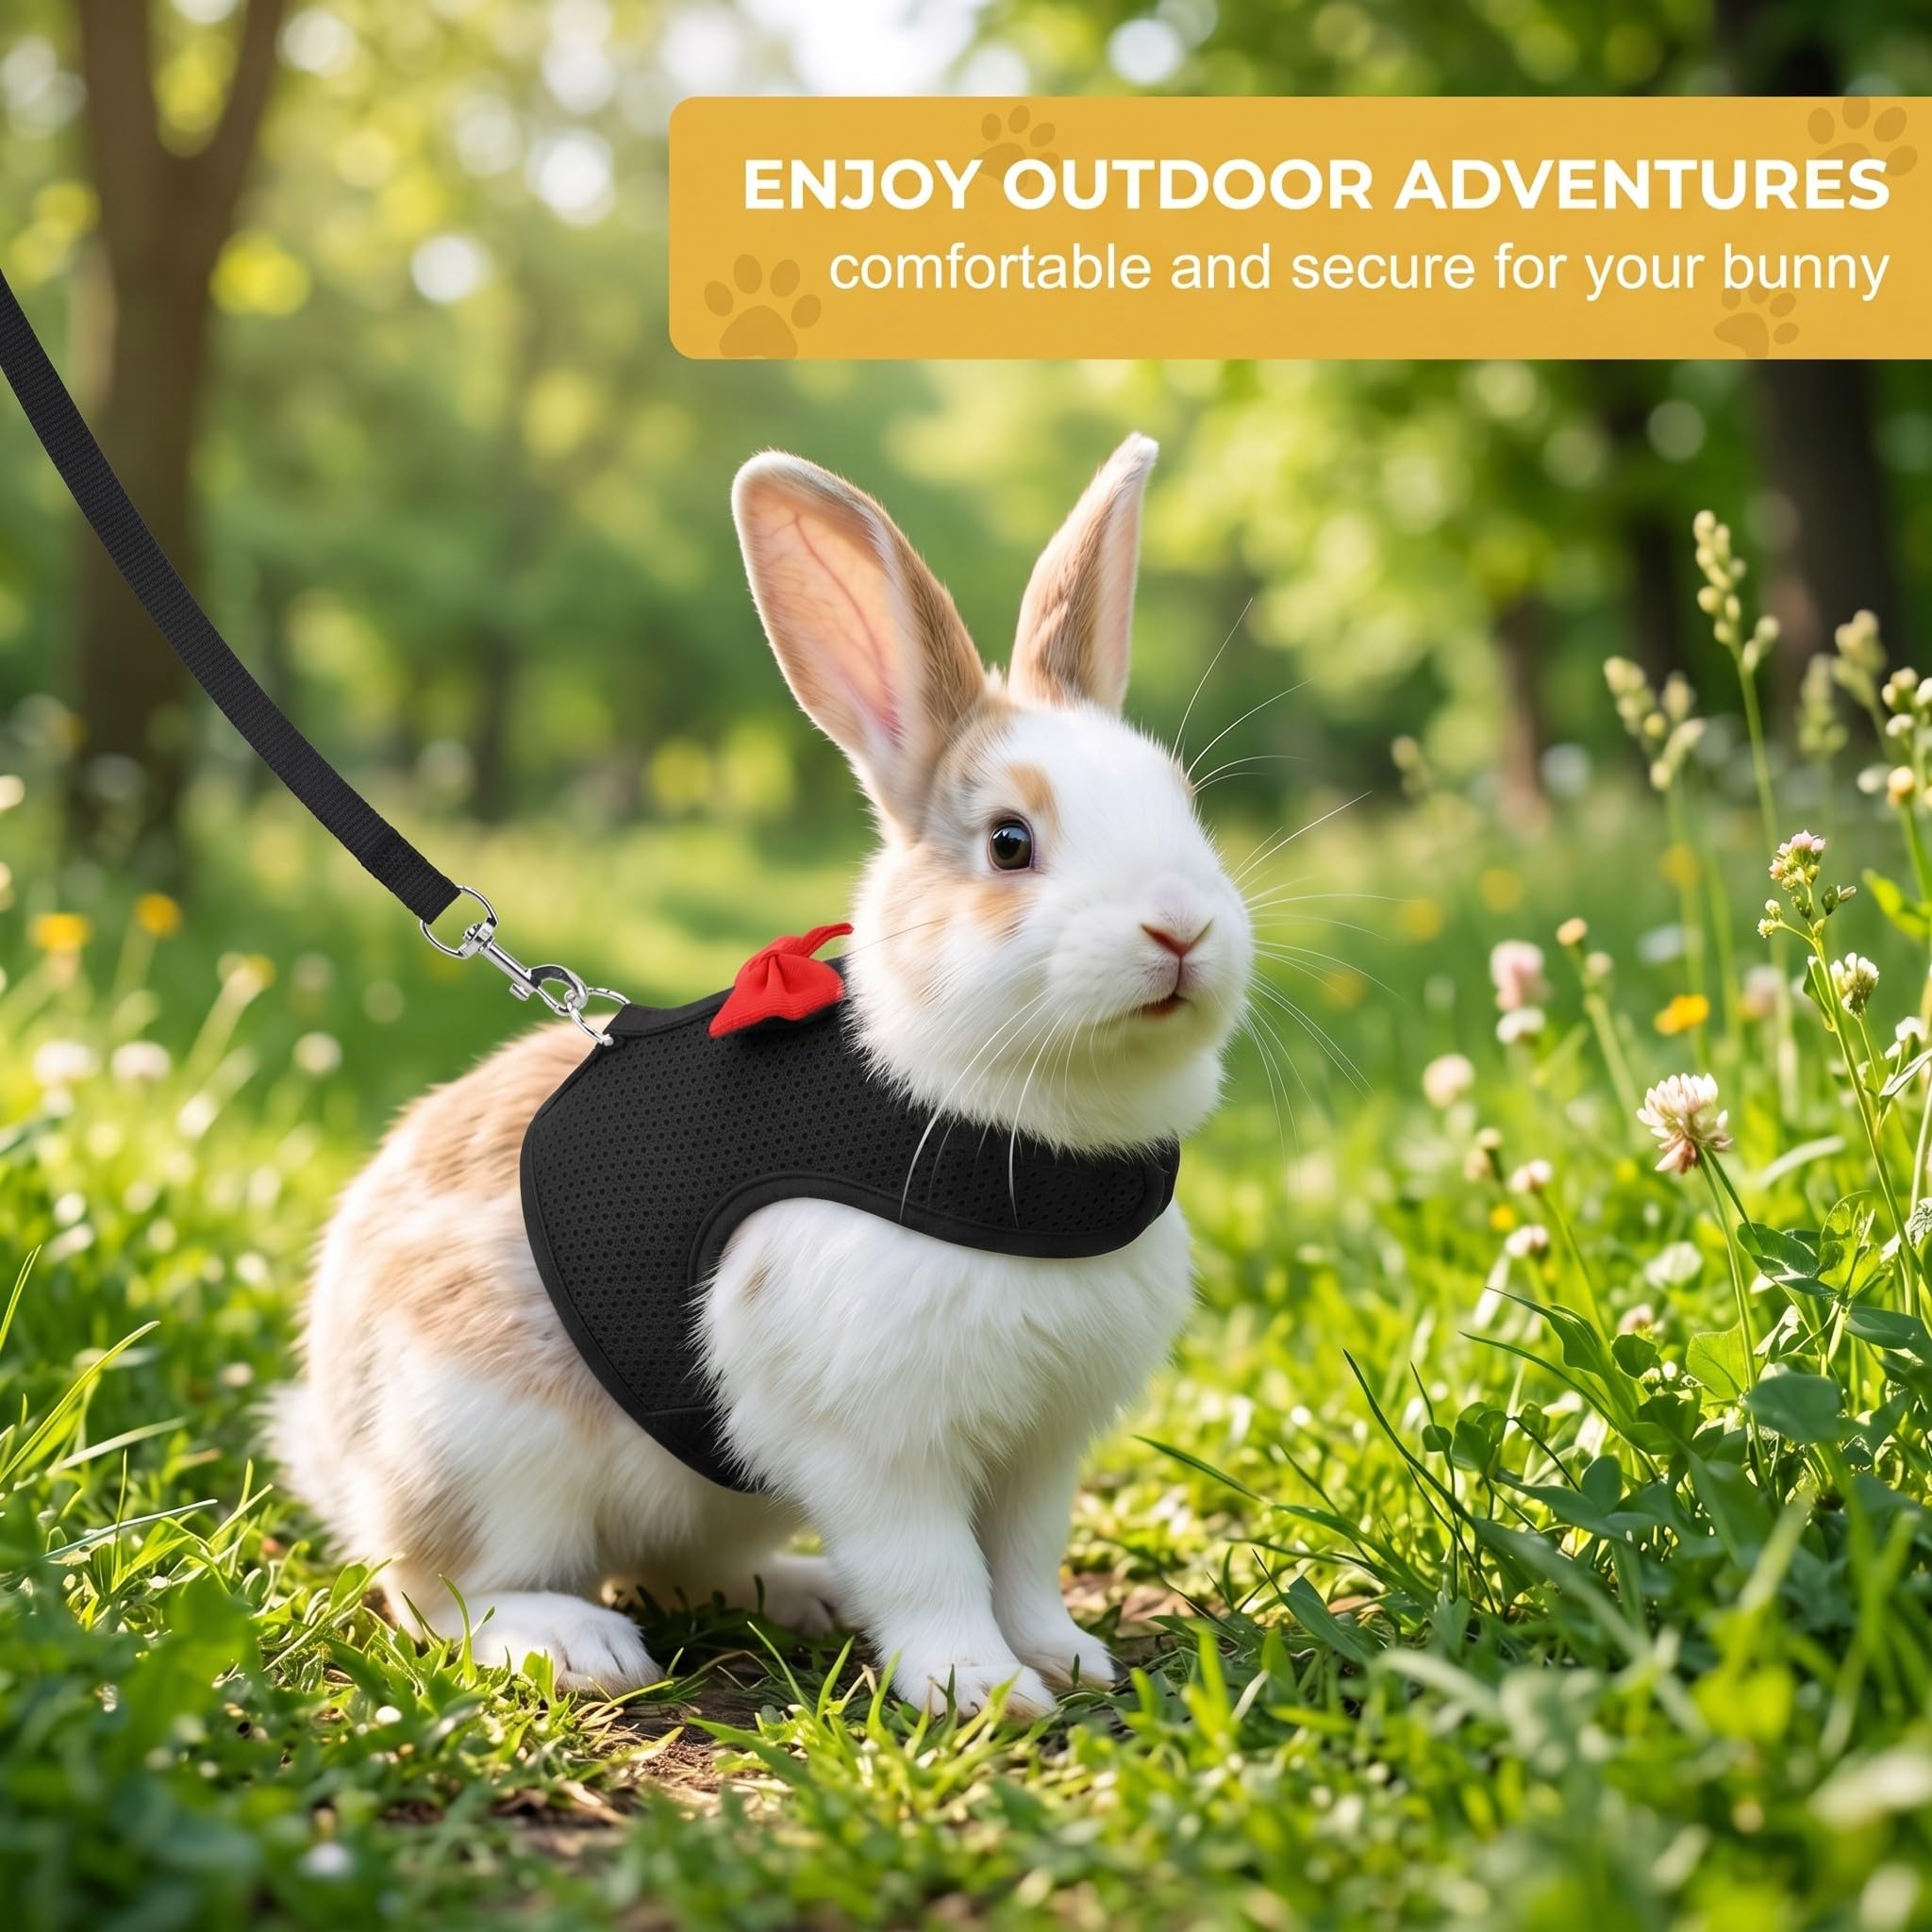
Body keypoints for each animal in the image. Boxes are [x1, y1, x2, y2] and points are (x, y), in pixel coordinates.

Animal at [268, 433, 1254, 1715]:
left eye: (1184, 809)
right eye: (1008, 843)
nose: (1180, 928)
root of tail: (342, 1453)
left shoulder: (1041, 1444)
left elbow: (1023, 1560)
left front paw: (1065, 1657)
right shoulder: (873, 1436)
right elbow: (931, 1565)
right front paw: (977, 1687)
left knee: (680, 1566)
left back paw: (800, 1594)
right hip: (490, 1446)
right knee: (439, 1587)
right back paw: (575, 1643)